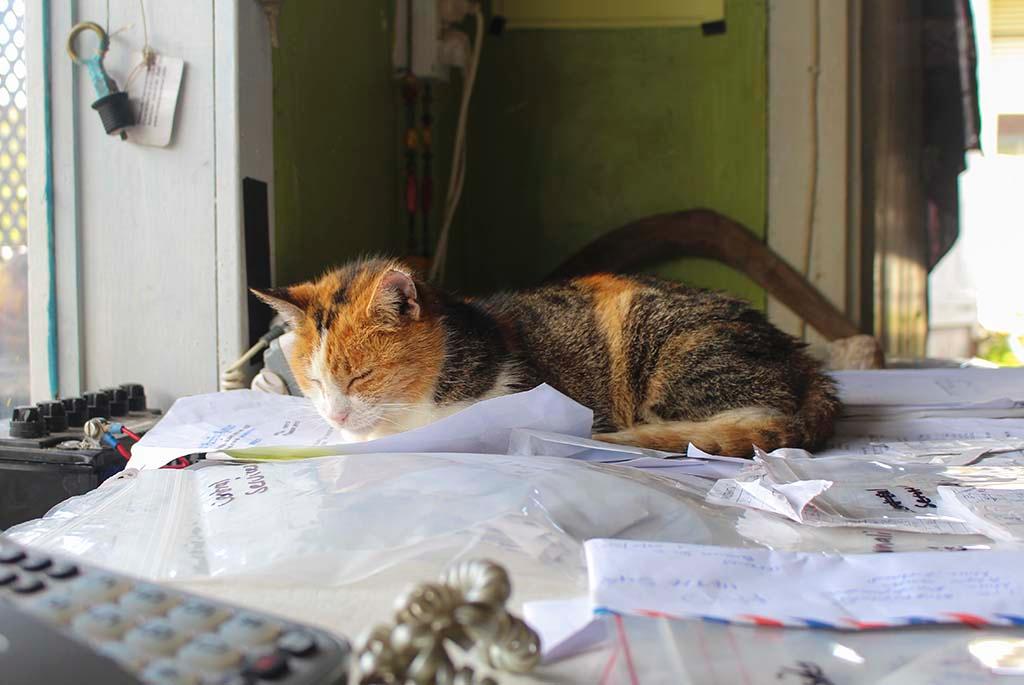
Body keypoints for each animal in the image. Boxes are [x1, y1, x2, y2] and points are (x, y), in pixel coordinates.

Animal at [253, 255, 839, 454]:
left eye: (363, 376)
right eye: (313, 380)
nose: (336, 414)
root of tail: (802, 358)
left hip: (681, 357)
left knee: (755, 418)